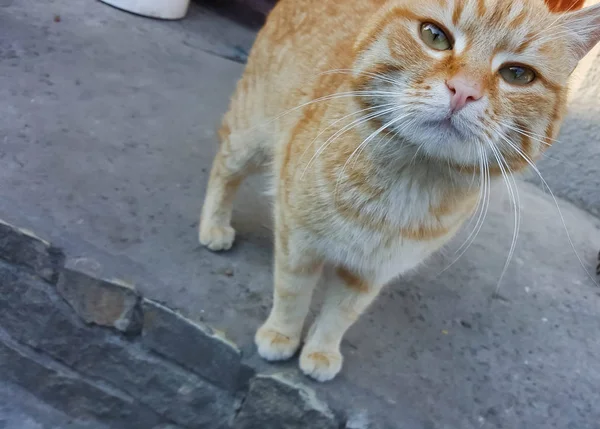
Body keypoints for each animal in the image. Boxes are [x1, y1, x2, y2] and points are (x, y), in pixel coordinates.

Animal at [199, 0, 600, 382]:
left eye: (517, 74)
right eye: (434, 36)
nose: (464, 91)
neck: (407, 182)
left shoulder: (373, 271)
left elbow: (341, 313)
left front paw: (321, 350)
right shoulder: (297, 238)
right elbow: (292, 292)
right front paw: (282, 335)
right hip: (250, 133)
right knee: (223, 168)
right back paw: (213, 226)